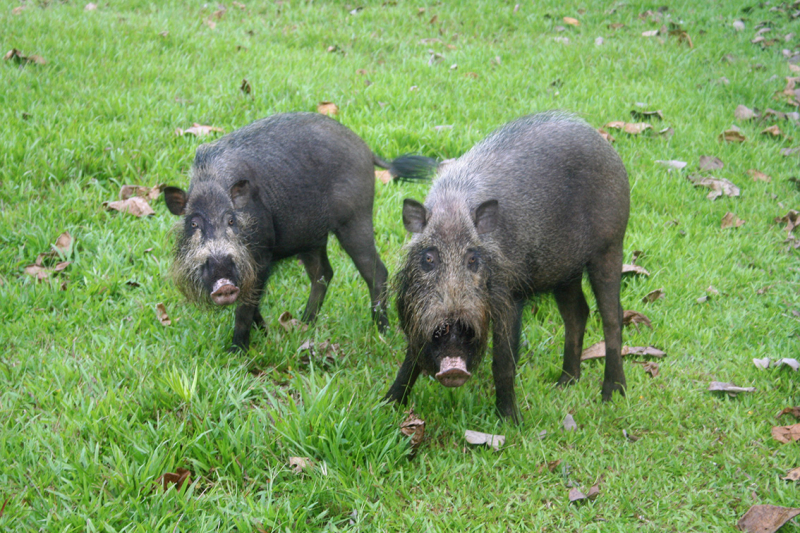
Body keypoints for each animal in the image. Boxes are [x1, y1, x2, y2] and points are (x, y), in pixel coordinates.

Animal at [166, 113, 434, 350]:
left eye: (231, 220)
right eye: (193, 223)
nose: (223, 283)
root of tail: (366, 150)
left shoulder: (261, 256)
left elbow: (246, 306)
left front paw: (236, 351)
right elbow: (252, 303)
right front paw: (264, 333)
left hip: (355, 220)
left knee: (376, 271)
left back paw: (382, 332)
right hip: (311, 238)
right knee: (323, 273)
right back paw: (305, 325)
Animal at [384, 113, 628, 424]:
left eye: (473, 259)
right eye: (429, 258)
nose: (453, 370)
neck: (453, 205)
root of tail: (606, 145)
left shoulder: (509, 297)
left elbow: (503, 362)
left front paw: (510, 422)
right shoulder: (418, 312)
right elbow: (411, 358)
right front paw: (387, 404)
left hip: (610, 247)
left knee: (613, 317)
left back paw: (612, 394)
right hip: (565, 272)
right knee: (578, 313)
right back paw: (564, 383)